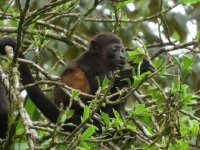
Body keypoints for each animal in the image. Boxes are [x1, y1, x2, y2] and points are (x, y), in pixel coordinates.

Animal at [0, 32, 154, 138]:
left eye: (122, 50)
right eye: (114, 49)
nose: (122, 57)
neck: (101, 59)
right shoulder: (90, 62)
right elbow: (99, 84)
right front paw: (135, 70)